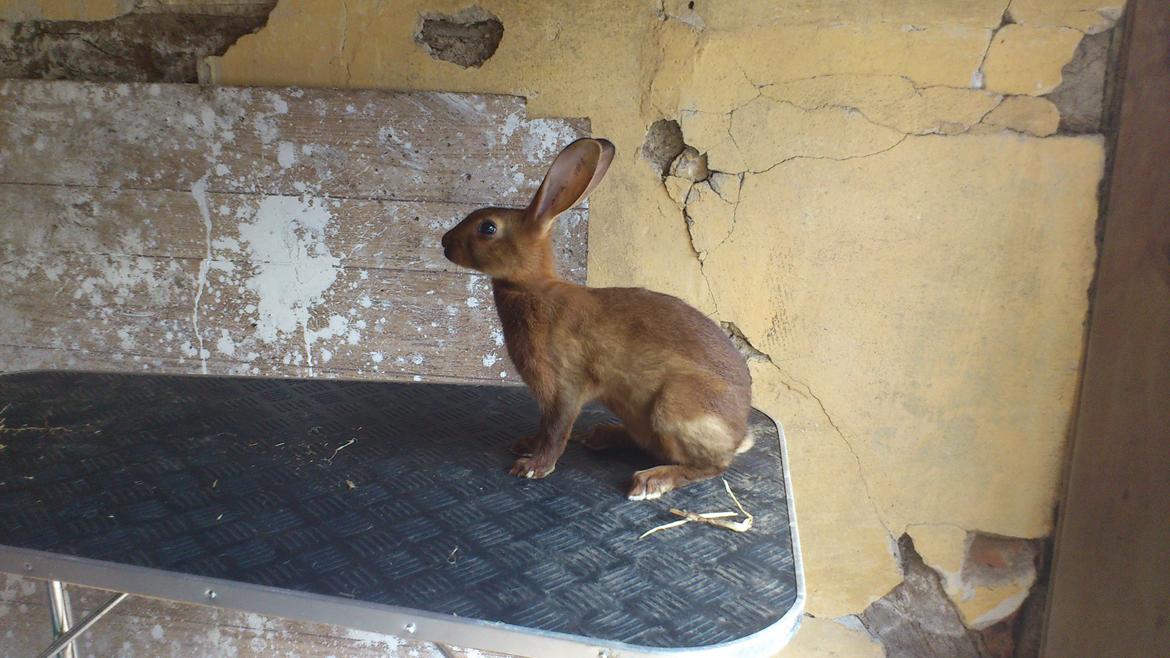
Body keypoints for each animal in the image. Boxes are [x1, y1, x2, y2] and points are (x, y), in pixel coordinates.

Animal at [441, 138, 753, 500]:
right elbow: (543, 427)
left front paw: (534, 466)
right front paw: (526, 445)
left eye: (488, 227)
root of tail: (738, 435)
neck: (532, 288)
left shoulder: (564, 386)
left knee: (710, 466)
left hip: (675, 407)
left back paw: (651, 480)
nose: (444, 242)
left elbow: (556, 429)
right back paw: (603, 436)